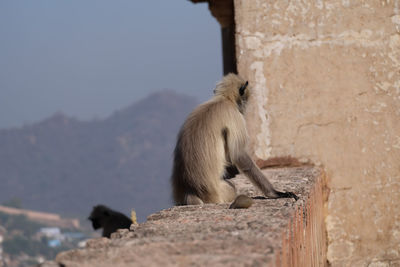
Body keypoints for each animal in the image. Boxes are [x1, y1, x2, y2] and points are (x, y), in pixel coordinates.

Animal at [170, 74, 298, 206]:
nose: (244, 106)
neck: (224, 99)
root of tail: (190, 191)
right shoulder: (236, 117)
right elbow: (239, 155)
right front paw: (274, 193)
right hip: (222, 191)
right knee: (232, 185)